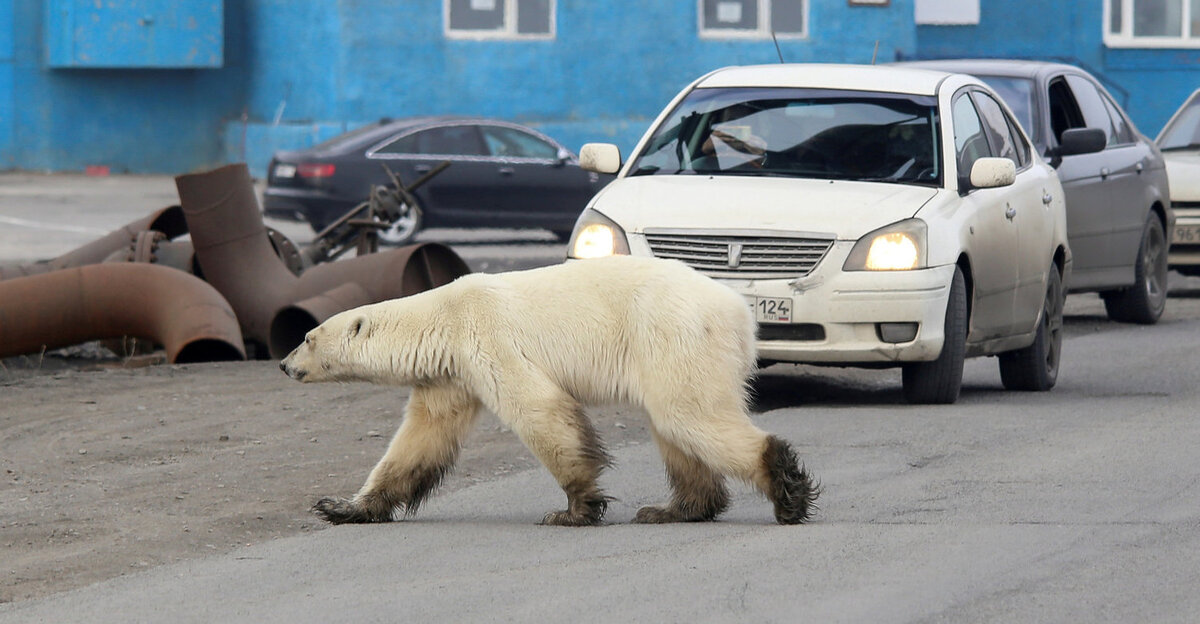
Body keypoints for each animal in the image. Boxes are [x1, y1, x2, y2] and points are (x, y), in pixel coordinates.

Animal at [283, 255, 816, 523]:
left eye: (307, 336)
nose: (286, 365)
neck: (443, 317)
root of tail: (740, 311)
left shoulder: (488, 338)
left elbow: (539, 409)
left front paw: (576, 509)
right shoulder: (449, 375)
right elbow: (420, 438)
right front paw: (342, 507)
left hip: (673, 334)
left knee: (689, 415)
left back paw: (787, 491)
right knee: (675, 428)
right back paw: (673, 510)